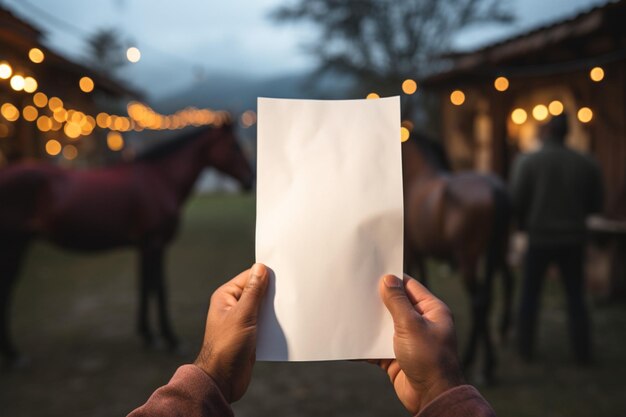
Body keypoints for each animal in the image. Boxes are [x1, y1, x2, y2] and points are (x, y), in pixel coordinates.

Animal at [0, 122, 251, 362]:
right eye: (234, 146)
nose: (251, 179)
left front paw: (148, 335)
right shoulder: (155, 243)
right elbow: (159, 287)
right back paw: (13, 354)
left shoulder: (143, 246)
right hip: (14, 245)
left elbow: (145, 285)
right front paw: (170, 339)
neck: (160, 179)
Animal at [402, 133, 510, 384]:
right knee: (505, 282)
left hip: (467, 257)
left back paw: (481, 364)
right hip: (498, 250)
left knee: (479, 300)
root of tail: (495, 189)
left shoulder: (413, 251)